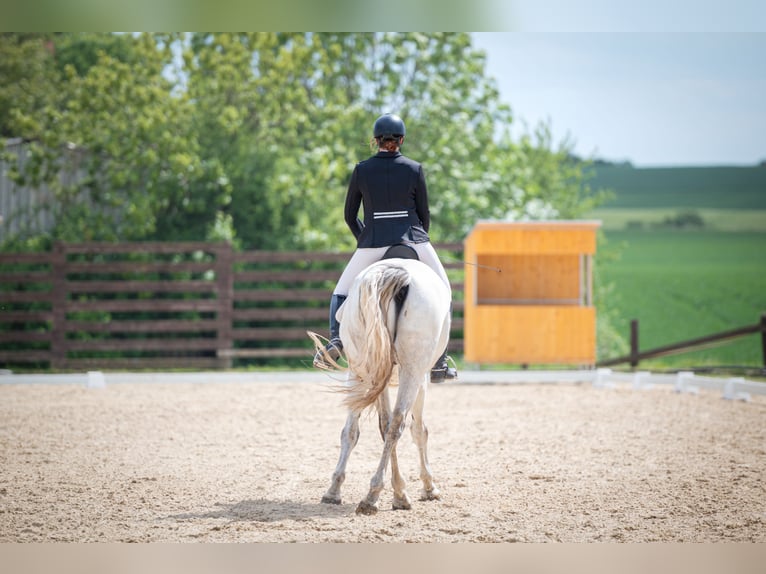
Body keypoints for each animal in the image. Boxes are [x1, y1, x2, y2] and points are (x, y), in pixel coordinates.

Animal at [313, 256, 451, 515]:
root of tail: (397, 273)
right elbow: (418, 430)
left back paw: (337, 492)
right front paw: (427, 488)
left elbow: (378, 426)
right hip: (412, 369)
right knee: (397, 423)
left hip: (361, 367)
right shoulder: (422, 378)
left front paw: (399, 491)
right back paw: (372, 496)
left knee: (356, 430)